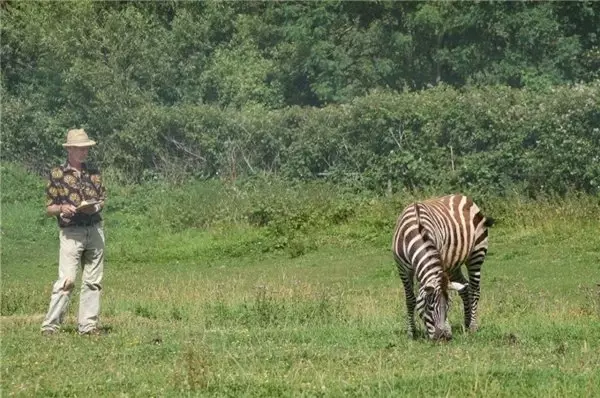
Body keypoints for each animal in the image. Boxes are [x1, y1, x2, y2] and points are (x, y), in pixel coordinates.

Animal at [394, 194, 492, 340]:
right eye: (429, 307)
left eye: (448, 307)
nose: (444, 337)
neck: (415, 232)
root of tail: (463, 196)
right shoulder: (402, 269)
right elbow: (410, 299)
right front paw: (412, 332)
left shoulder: (439, 259)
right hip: (454, 265)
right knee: (465, 287)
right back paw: (466, 323)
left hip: (477, 254)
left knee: (474, 289)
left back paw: (472, 327)